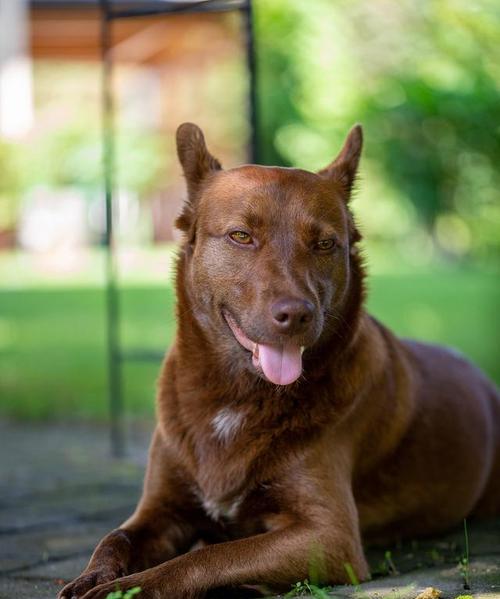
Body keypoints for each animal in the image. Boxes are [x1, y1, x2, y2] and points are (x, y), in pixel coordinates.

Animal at [59, 124, 500, 596]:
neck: (236, 392)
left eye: (324, 243)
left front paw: (131, 587)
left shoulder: (329, 537)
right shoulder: (160, 510)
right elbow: (114, 539)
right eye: (240, 236)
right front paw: (93, 577)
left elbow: (211, 556)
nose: (296, 314)